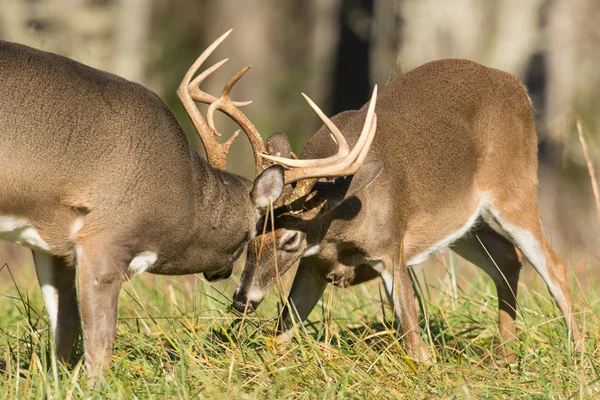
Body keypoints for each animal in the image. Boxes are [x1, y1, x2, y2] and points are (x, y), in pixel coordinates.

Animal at [0, 29, 376, 374]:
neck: (185, 196)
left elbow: (64, 332)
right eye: (256, 235)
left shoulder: (52, 245)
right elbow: (99, 344)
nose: (236, 295)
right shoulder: (105, 237)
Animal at [232, 58, 584, 362]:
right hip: (461, 224)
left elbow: (418, 349)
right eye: (250, 233)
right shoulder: (313, 266)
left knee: (554, 266)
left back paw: (578, 358)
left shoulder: (391, 247)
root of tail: (518, 86)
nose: (241, 301)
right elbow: (280, 334)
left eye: (291, 239)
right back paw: (506, 358)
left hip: (515, 187)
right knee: (506, 257)